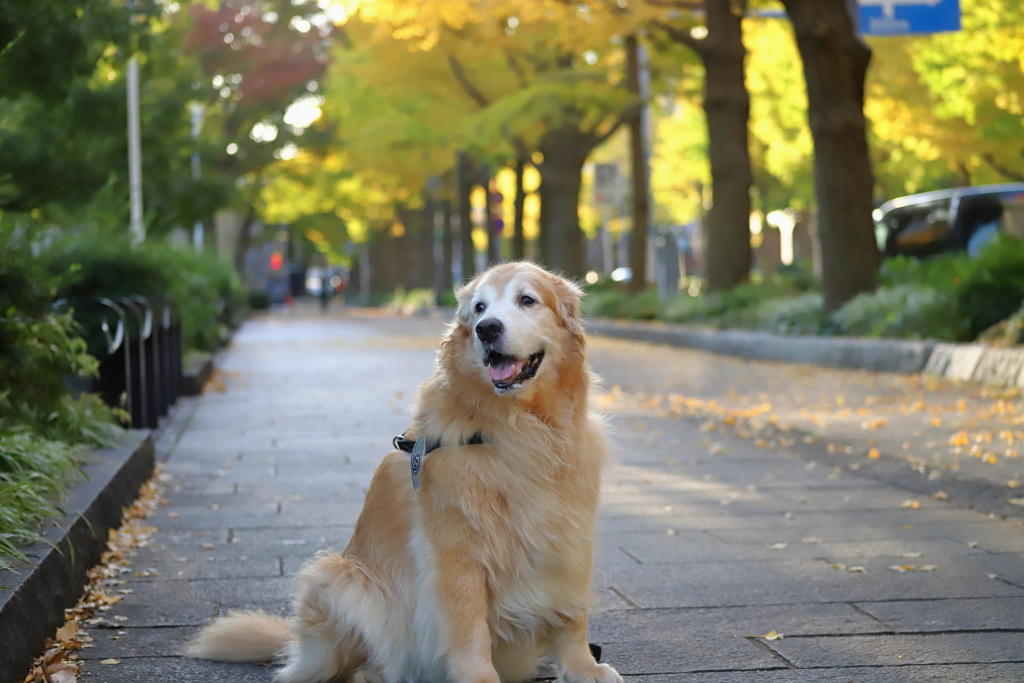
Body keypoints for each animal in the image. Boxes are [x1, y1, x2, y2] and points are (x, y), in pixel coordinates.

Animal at [187, 264, 618, 683]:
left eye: (526, 300)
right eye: (479, 308)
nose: (487, 328)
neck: (521, 429)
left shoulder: (568, 537)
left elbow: (571, 615)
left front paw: (584, 668)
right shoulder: (455, 554)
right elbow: (469, 628)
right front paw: (480, 677)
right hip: (337, 578)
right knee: (343, 663)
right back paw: (370, 673)